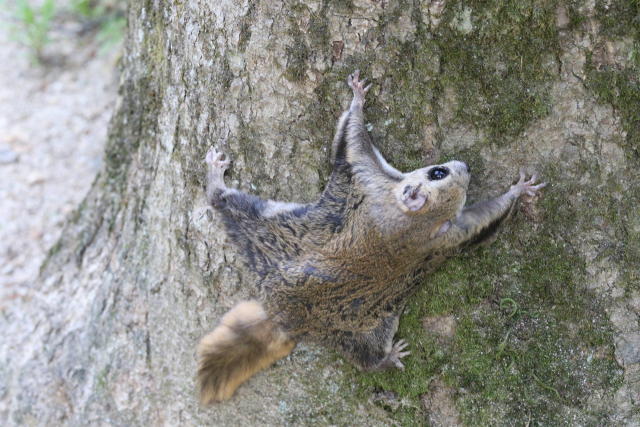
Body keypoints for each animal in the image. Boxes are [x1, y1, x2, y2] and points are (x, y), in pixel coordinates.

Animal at [196, 70, 544, 404]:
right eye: (439, 172)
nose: (468, 166)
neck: (413, 222)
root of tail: (281, 317)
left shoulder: (367, 176)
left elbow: (352, 139)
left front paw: (357, 98)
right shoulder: (448, 228)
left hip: (272, 232)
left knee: (219, 200)